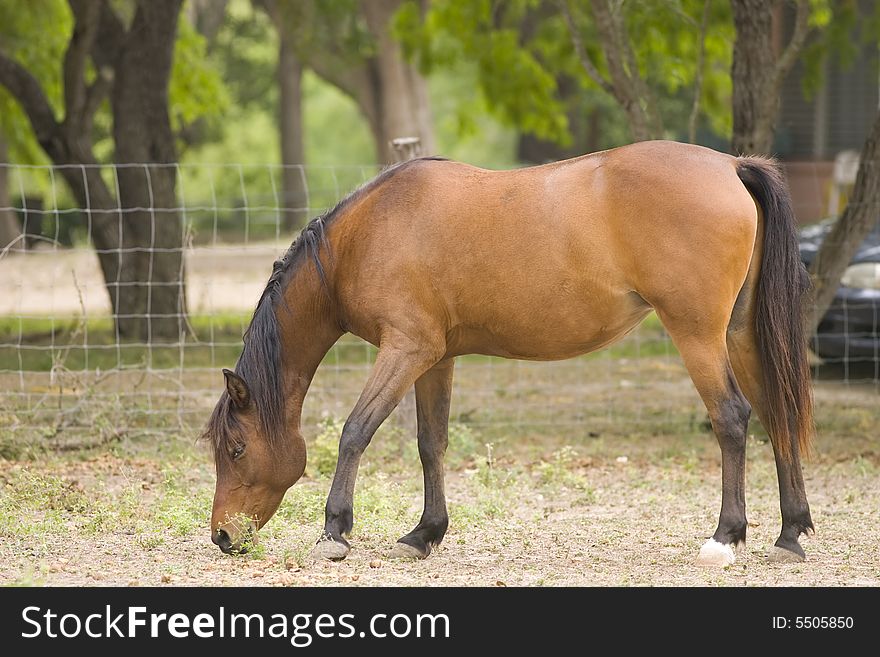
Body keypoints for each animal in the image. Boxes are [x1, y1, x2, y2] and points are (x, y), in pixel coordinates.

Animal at [203, 141, 816, 568]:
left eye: (236, 449)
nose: (223, 536)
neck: (366, 235)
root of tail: (731, 166)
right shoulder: (435, 359)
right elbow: (431, 444)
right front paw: (424, 534)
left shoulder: (405, 349)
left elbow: (355, 432)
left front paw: (334, 532)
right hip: (739, 335)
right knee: (776, 416)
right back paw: (789, 535)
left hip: (697, 335)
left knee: (732, 418)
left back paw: (724, 538)